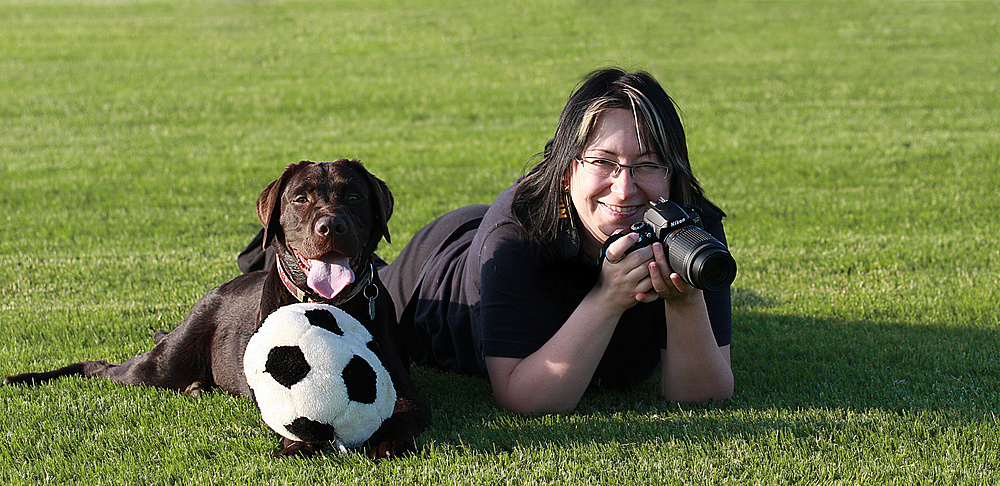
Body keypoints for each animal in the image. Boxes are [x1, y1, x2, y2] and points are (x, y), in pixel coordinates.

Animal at [4, 159, 434, 460]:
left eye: (354, 197)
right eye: (300, 198)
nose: (331, 226)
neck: (324, 304)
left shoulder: (404, 385)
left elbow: (404, 414)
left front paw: (387, 442)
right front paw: (297, 444)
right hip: (159, 366)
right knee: (99, 367)